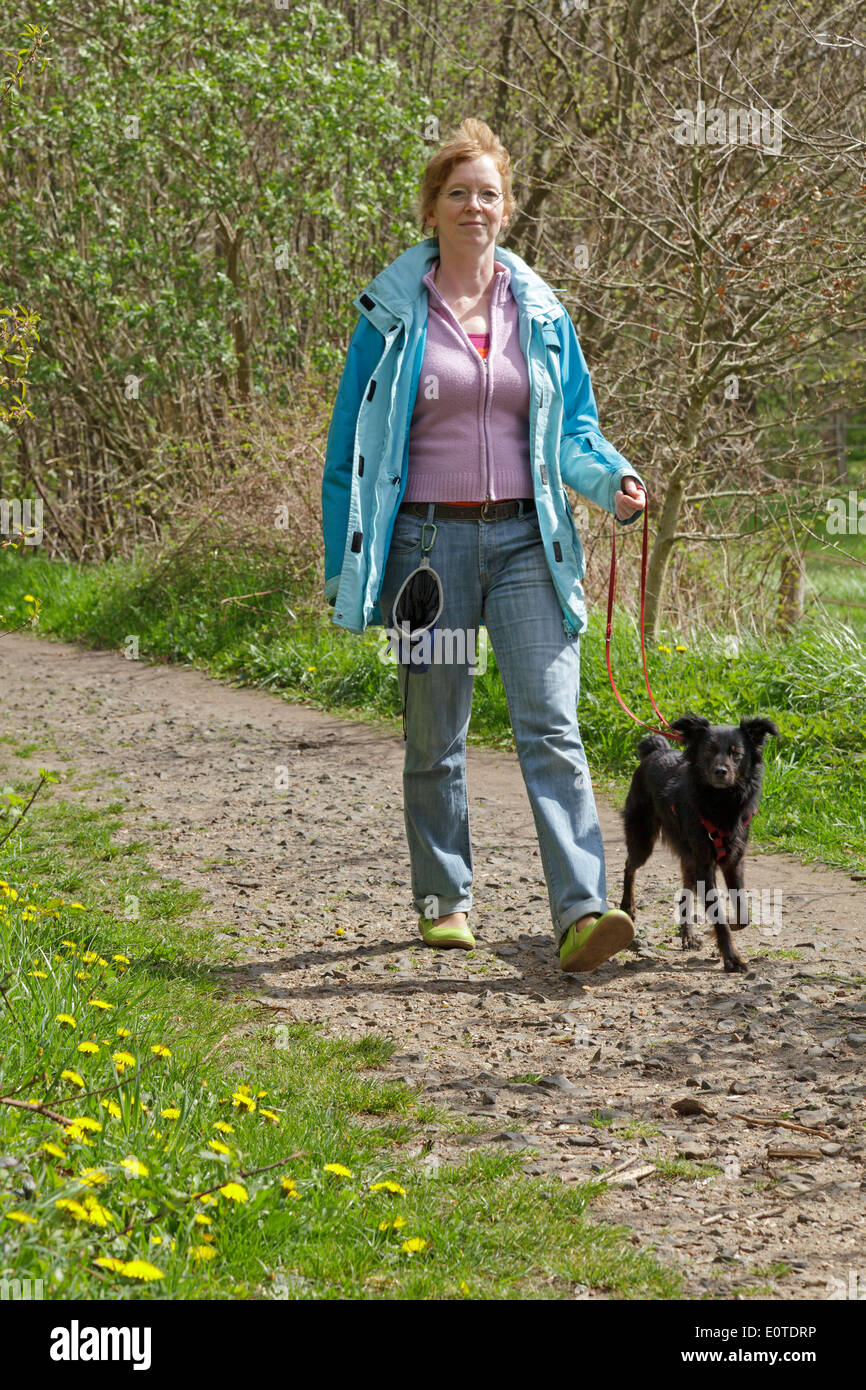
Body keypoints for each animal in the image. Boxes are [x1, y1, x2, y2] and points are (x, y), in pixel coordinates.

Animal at [622, 722, 778, 973]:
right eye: (709, 751)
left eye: (736, 753)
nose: (720, 771)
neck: (721, 801)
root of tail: (657, 750)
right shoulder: (705, 864)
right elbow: (719, 915)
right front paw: (732, 958)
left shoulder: (733, 861)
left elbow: (743, 914)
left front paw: (726, 927)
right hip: (643, 839)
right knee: (629, 867)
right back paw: (628, 908)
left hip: (689, 857)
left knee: (686, 890)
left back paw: (688, 935)